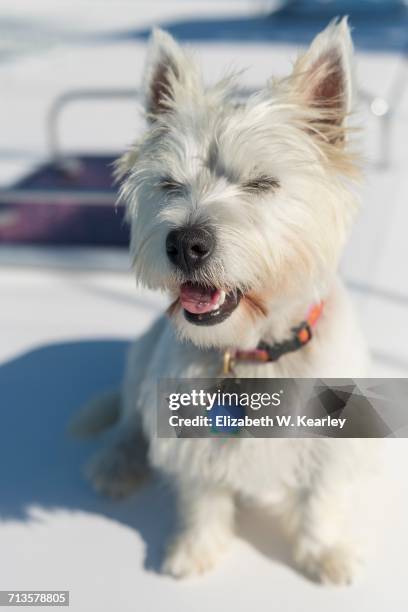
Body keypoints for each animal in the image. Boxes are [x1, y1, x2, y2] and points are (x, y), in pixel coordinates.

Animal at [71, 17, 380, 584]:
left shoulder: (329, 442)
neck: (253, 350)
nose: (185, 243)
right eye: (169, 184)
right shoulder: (186, 433)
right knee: (128, 420)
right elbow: (202, 497)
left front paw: (323, 553)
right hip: (141, 357)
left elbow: (320, 500)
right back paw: (116, 463)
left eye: (262, 182)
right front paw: (196, 550)